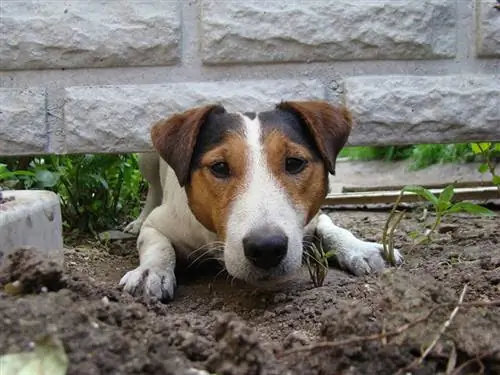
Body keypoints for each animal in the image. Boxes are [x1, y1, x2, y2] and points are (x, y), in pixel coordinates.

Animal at [118, 100, 402, 302]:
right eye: (219, 167)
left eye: (294, 163)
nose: (266, 248)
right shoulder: (162, 223)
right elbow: (157, 243)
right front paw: (150, 272)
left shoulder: (314, 217)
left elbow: (331, 228)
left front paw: (360, 248)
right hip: (146, 159)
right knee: (153, 189)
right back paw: (136, 221)